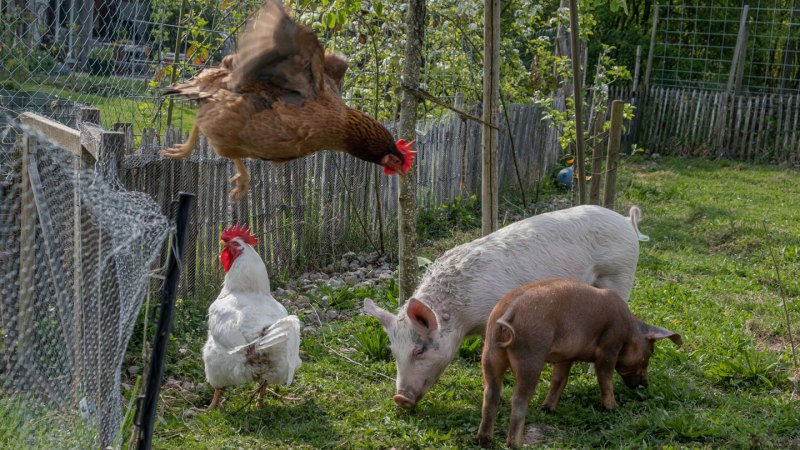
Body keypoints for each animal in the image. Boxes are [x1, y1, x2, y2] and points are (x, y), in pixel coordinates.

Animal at [366, 204, 648, 408]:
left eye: (419, 351)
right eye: (393, 352)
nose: (400, 398)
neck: (463, 318)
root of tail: (626, 222)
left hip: (621, 274)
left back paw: (590, 373)